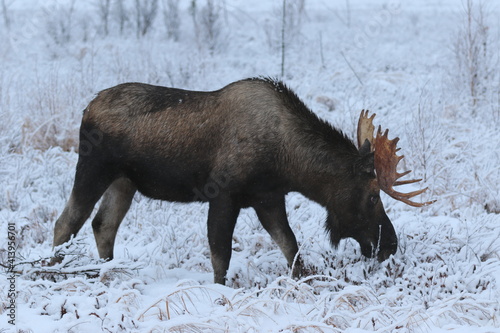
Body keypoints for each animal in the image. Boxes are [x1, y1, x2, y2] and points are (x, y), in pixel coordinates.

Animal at [51, 77, 434, 282]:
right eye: (373, 196)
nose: (390, 244)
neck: (289, 164)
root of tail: (87, 108)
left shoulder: (268, 199)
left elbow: (291, 247)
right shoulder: (223, 194)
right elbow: (220, 255)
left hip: (124, 181)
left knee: (103, 224)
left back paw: (107, 271)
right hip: (93, 167)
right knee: (66, 221)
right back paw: (54, 270)